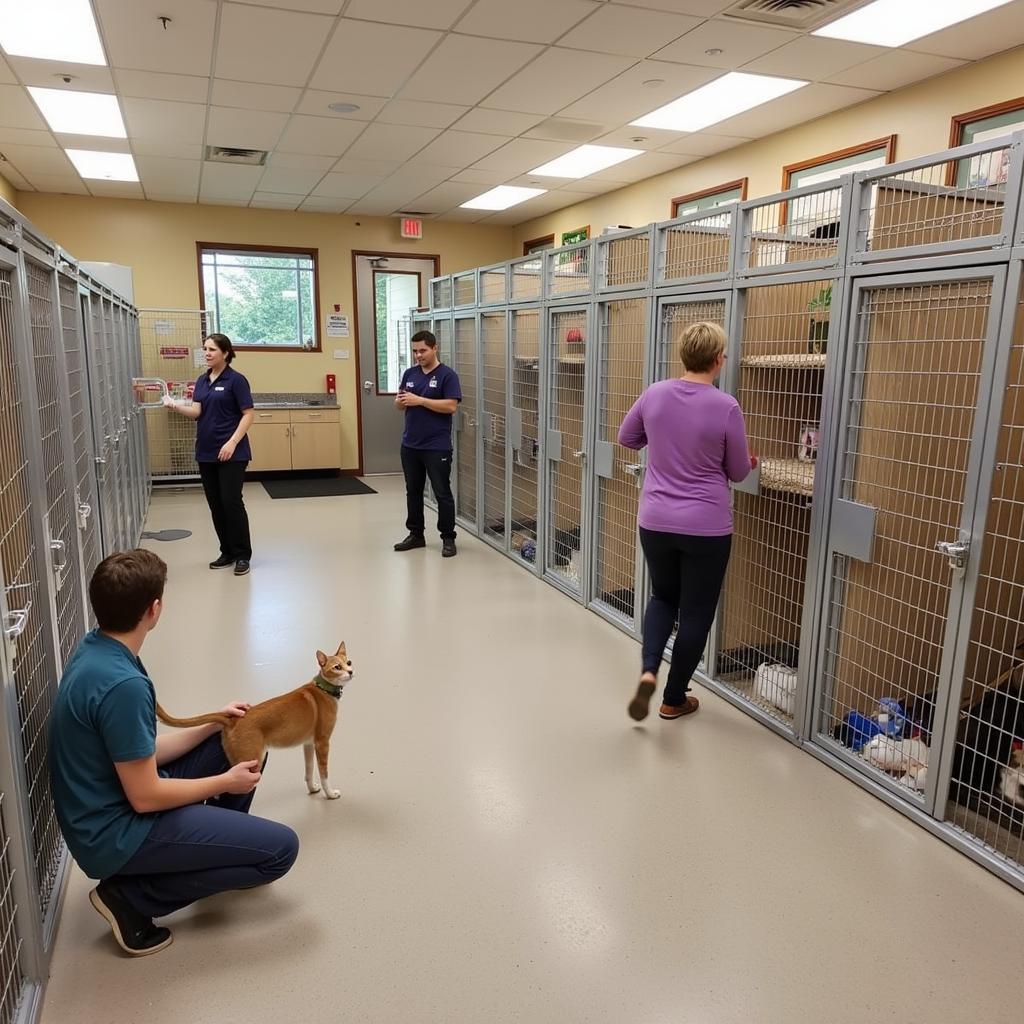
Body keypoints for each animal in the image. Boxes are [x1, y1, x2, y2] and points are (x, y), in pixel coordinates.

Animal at [157, 638, 354, 798]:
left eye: (349, 662)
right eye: (337, 667)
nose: (351, 671)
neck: (323, 688)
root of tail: (233, 719)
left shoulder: (308, 744)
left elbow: (309, 770)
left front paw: (312, 789)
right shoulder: (322, 743)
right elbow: (324, 773)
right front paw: (330, 794)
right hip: (250, 765)